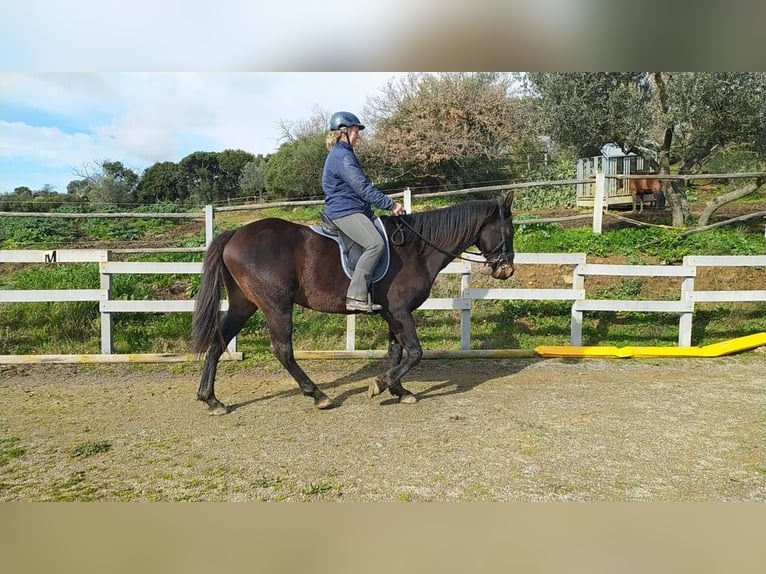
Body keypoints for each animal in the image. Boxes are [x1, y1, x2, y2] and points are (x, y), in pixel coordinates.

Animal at [191, 193, 516, 414]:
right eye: (508, 231)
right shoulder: (399, 312)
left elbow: (396, 351)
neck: (417, 249)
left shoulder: (393, 314)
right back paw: (318, 395)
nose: (507, 270)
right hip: (277, 306)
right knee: (283, 350)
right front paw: (380, 385)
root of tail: (235, 234)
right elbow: (415, 352)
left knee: (217, 344)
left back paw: (211, 399)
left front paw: (399, 390)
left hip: (243, 305)